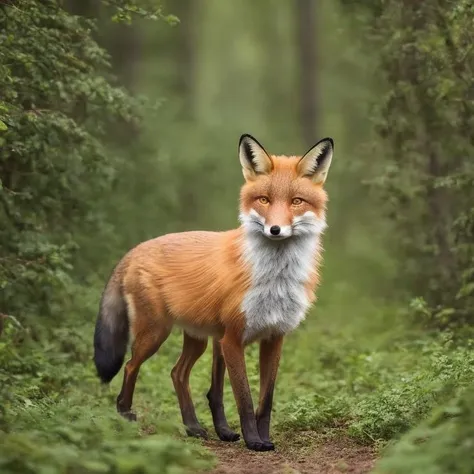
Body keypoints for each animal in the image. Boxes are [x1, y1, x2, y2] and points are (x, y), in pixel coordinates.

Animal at [93, 133, 334, 452]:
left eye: (296, 201)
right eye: (264, 200)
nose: (275, 230)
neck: (274, 279)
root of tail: (135, 249)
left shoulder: (274, 337)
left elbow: (265, 399)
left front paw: (264, 438)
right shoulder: (232, 339)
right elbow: (244, 398)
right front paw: (253, 442)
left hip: (198, 340)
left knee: (177, 373)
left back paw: (194, 427)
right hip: (156, 333)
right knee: (131, 366)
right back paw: (125, 415)